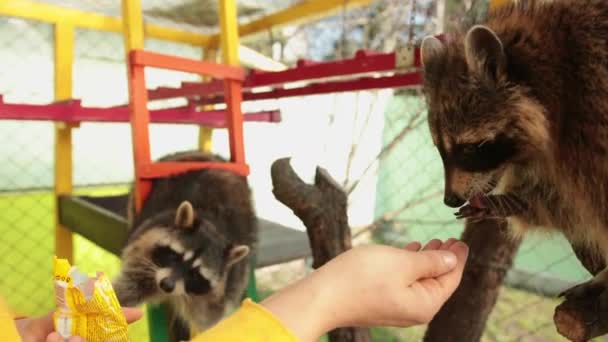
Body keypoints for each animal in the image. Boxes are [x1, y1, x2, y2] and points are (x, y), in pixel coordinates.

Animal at [113, 151, 258, 336]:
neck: (214, 227)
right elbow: (128, 286)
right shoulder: (144, 249)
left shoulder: (225, 286)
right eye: (175, 256)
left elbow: (210, 320)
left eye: (195, 274)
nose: (167, 285)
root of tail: (203, 154)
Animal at [420, 1, 608, 302]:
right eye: (440, 149)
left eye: (471, 148)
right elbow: (563, 202)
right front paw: (513, 202)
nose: (450, 199)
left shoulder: (592, 113)